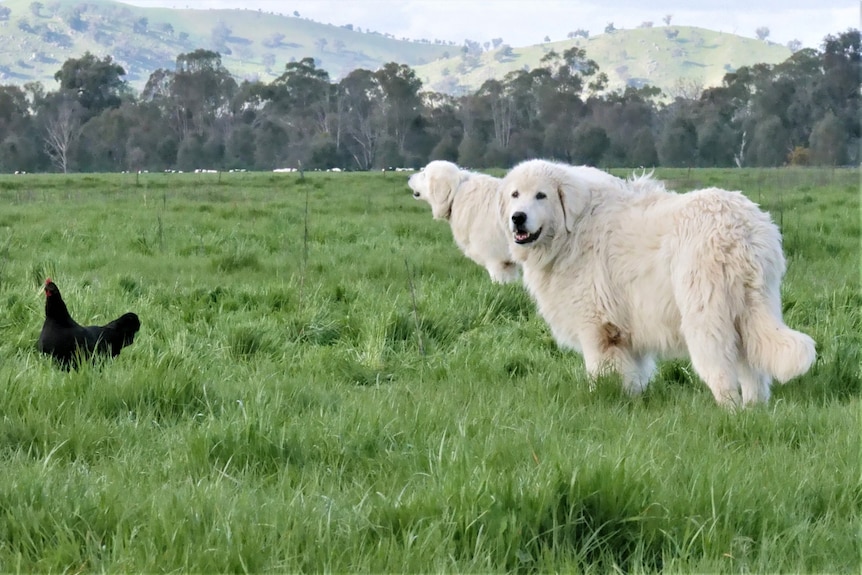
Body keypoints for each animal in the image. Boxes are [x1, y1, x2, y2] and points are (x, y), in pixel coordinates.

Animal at [500, 160, 816, 408]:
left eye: (541, 195)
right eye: (515, 194)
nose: (518, 218)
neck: (573, 229)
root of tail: (743, 228)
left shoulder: (596, 327)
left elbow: (600, 372)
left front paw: (602, 398)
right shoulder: (625, 331)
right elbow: (633, 376)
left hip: (705, 315)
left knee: (721, 370)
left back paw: (730, 411)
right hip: (751, 309)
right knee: (753, 368)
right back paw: (754, 409)